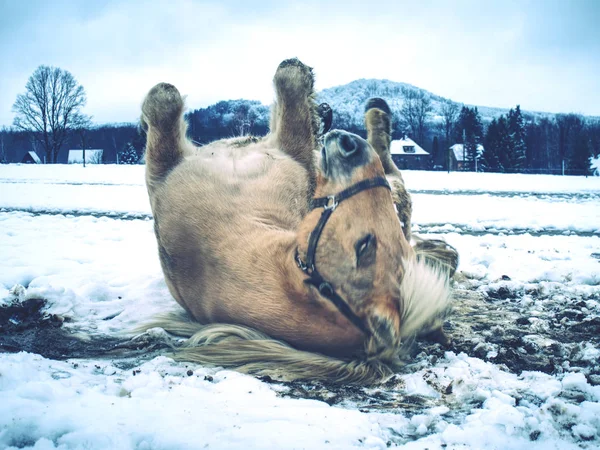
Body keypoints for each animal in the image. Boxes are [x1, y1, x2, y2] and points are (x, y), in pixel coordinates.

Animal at [141, 58, 458, 384]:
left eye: (363, 247)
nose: (350, 144)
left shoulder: (291, 148)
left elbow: (165, 99)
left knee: (393, 172)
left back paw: (376, 114)